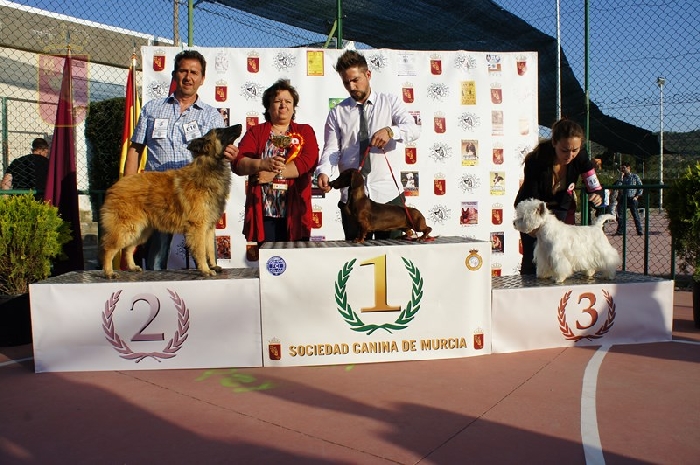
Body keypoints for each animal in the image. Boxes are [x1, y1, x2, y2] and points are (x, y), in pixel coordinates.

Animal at [100, 124, 242, 279]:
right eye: (220, 131)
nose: (240, 126)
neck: (209, 167)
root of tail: (115, 186)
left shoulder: (209, 227)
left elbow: (209, 249)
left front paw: (213, 266)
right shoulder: (198, 227)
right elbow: (201, 251)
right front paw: (205, 269)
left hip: (141, 229)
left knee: (128, 248)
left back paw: (132, 267)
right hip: (127, 228)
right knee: (109, 248)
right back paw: (108, 272)